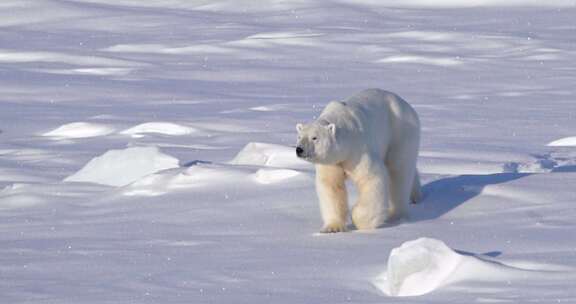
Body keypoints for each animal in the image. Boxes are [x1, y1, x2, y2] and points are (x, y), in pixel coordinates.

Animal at [294, 88, 420, 233]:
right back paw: (416, 195)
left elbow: (372, 178)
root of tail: (407, 106)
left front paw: (360, 221)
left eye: (314, 138)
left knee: (399, 171)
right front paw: (332, 227)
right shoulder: (333, 162)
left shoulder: (358, 151)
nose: (299, 149)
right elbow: (331, 186)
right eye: (299, 136)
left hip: (401, 132)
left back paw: (397, 214)